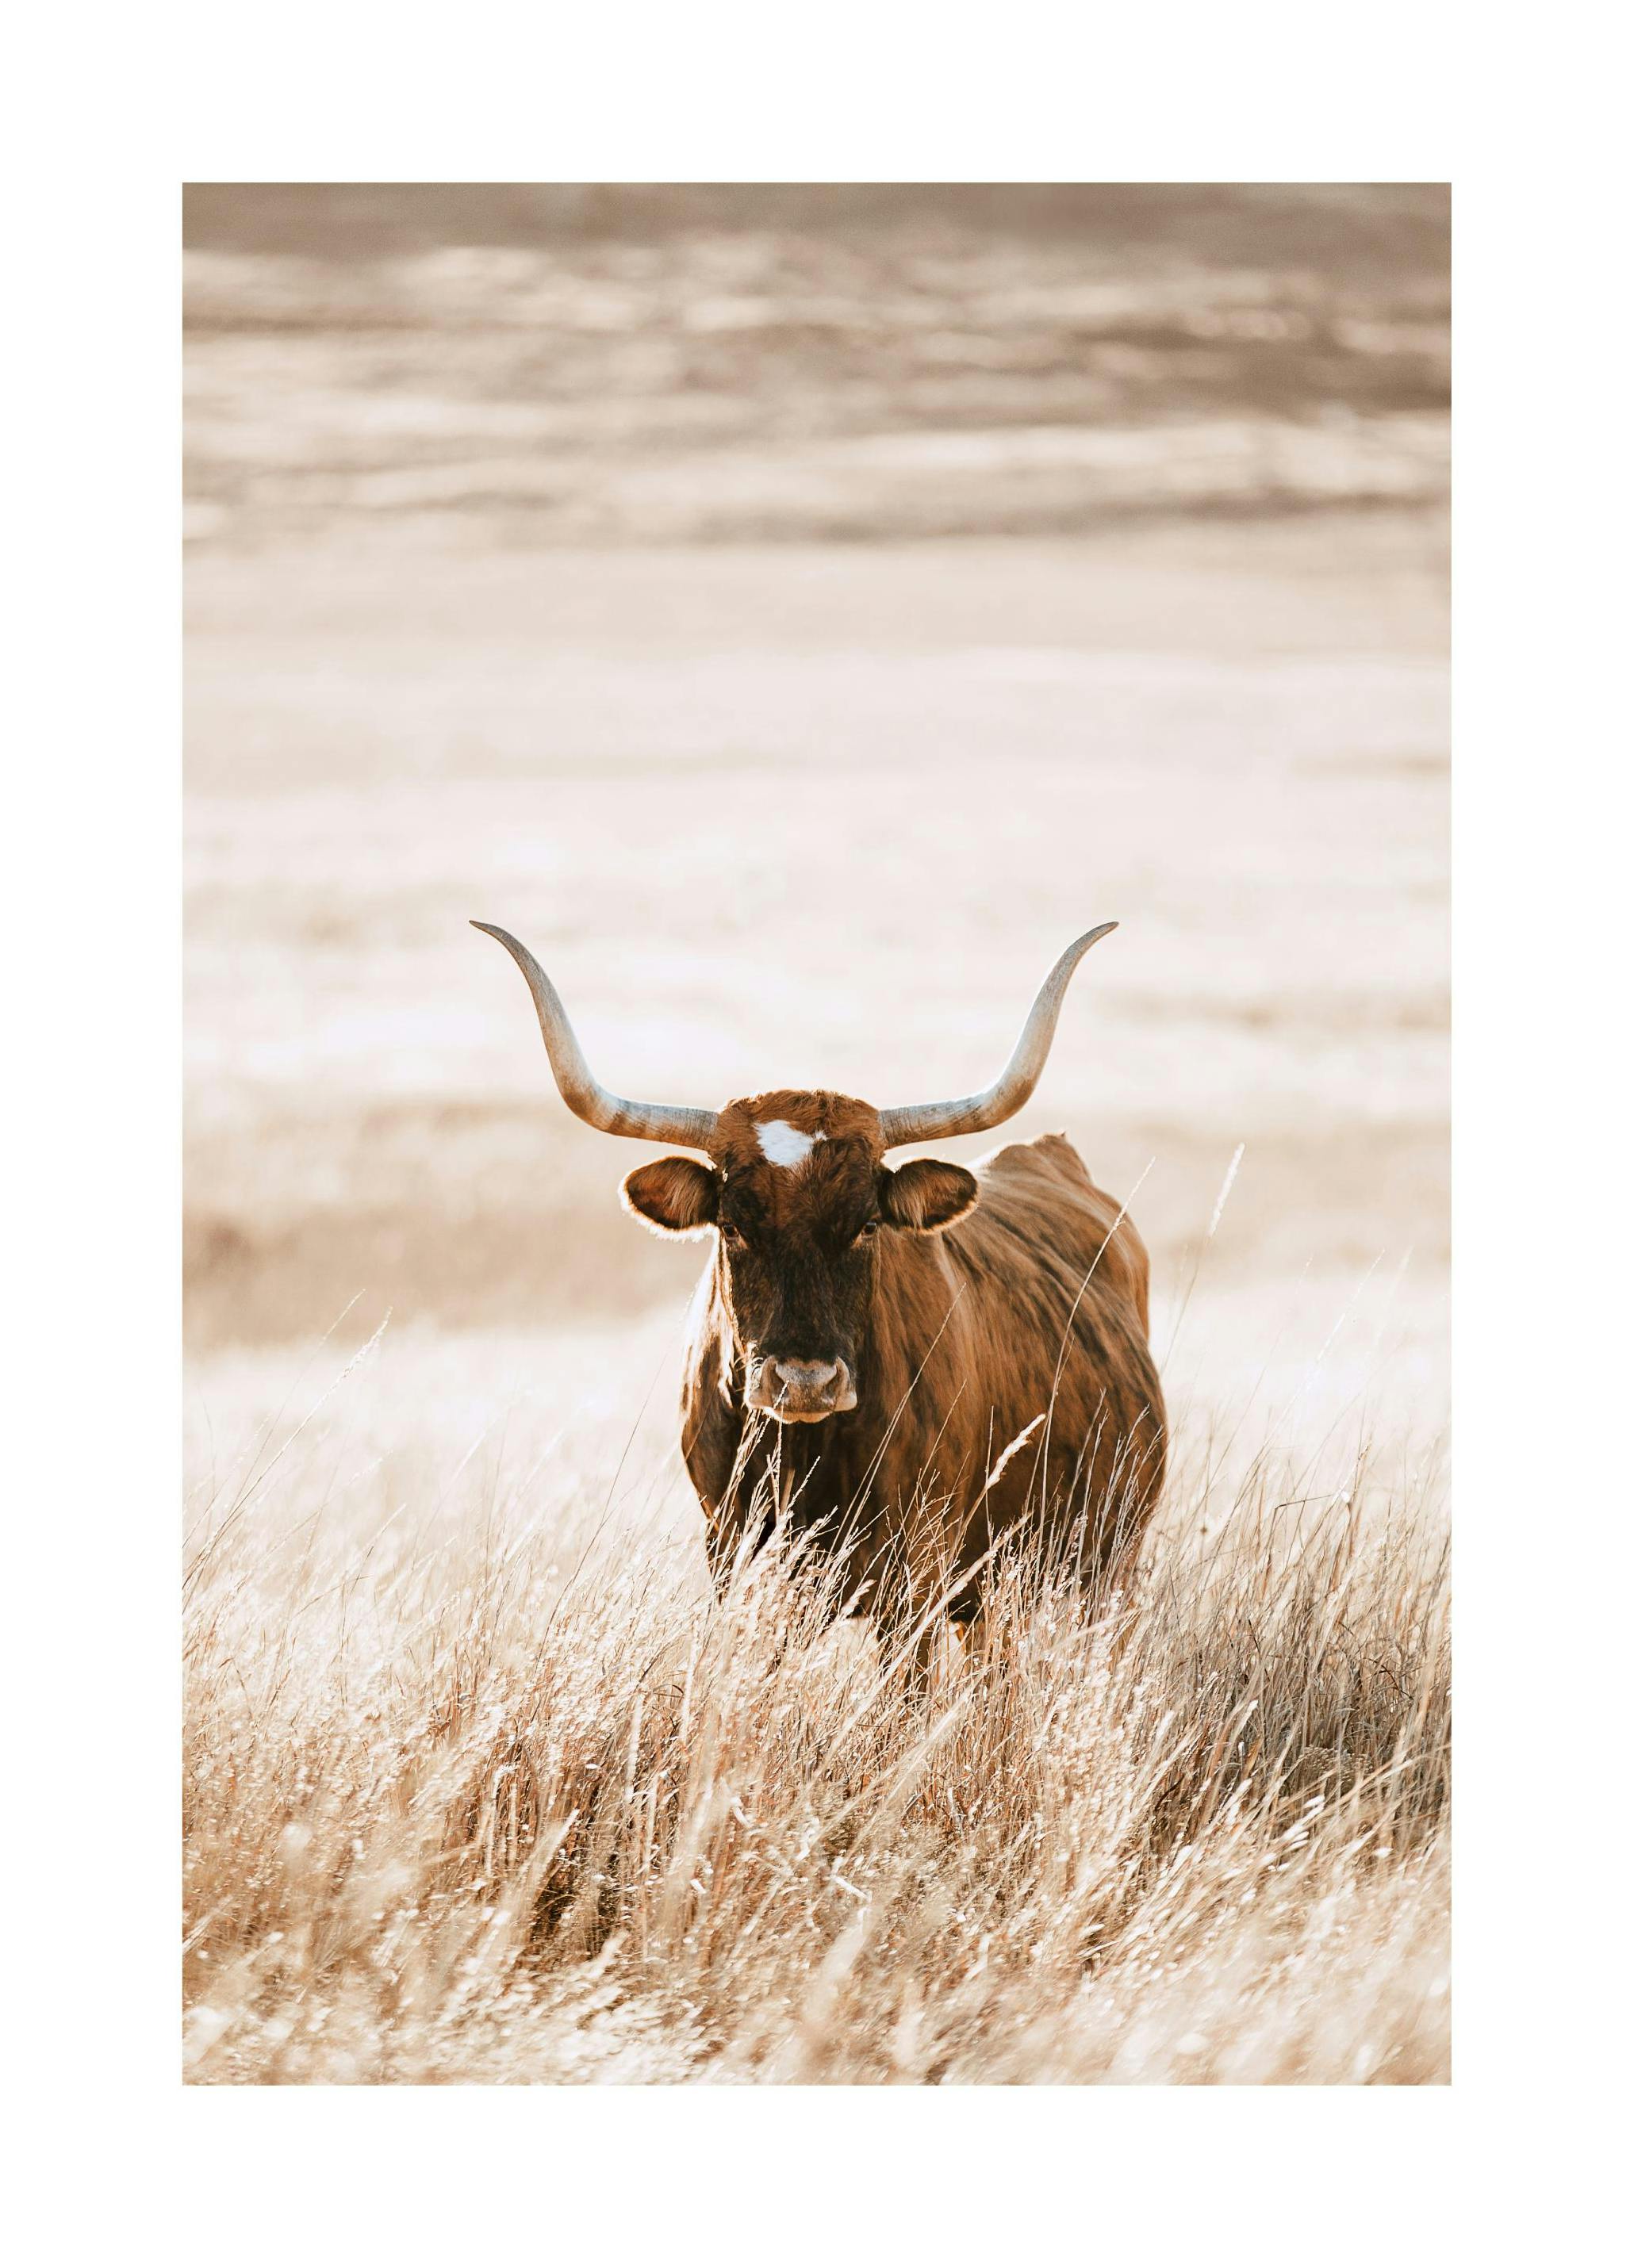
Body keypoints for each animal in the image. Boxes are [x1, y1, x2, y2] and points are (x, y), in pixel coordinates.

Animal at [474, 922, 1165, 1643]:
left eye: (867, 1224)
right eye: (732, 1225)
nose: (804, 1382)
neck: (802, 1451)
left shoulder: (915, 1576)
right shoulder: (734, 1559)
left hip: (1097, 1570)